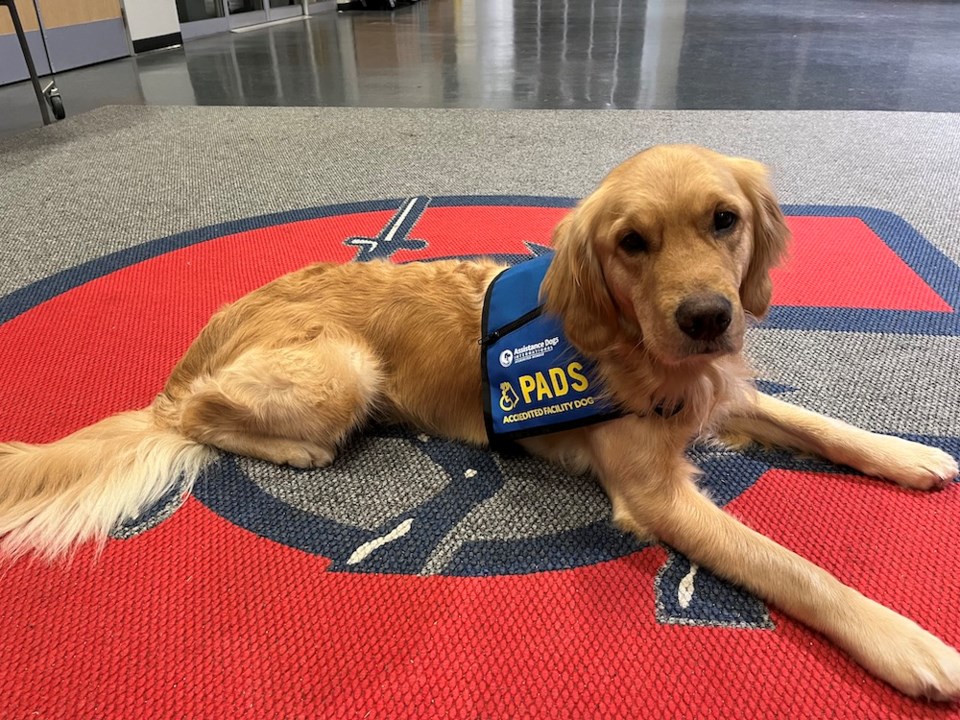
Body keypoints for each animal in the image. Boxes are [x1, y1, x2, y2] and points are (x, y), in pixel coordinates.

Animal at [1, 143, 960, 700]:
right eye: (632, 242)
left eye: (724, 221)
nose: (706, 317)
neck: (638, 347)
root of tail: (205, 340)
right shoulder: (656, 496)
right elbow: (794, 569)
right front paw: (909, 645)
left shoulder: (716, 391)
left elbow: (819, 420)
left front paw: (907, 453)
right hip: (340, 370)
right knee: (199, 418)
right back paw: (295, 446)